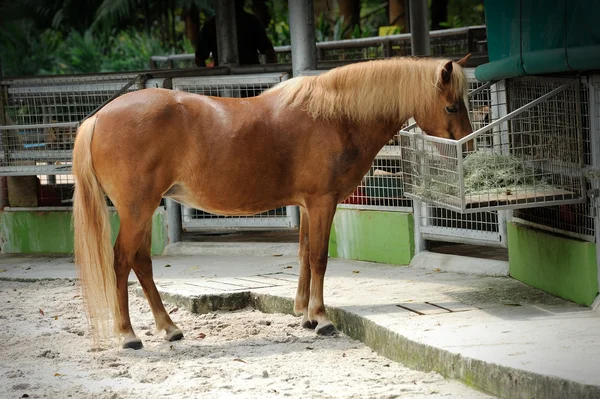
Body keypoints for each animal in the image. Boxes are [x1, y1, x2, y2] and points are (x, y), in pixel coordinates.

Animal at [71, 54, 474, 350]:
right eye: (452, 107)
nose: (468, 148)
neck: (334, 116)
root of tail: (98, 118)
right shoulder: (323, 202)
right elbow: (319, 257)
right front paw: (321, 319)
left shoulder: (309, 205)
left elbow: (304, 253)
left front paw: (305, 315)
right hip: (136, 210)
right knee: (122, 261)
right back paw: (129, 335)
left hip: (141, 211)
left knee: (140, 263)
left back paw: (169, 328)